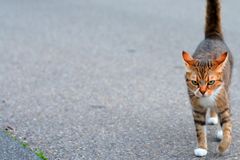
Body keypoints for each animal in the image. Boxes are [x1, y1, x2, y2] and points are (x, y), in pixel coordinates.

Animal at [182, 0, 232, 158]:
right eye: (195, 82)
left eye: (211, 82)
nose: (203, 91)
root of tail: (212, 37)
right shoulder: (196, 109)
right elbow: (199, 130)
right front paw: (202, 147)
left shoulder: (223, 102)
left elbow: (228, 126)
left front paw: (223, 146)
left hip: (227, 87)